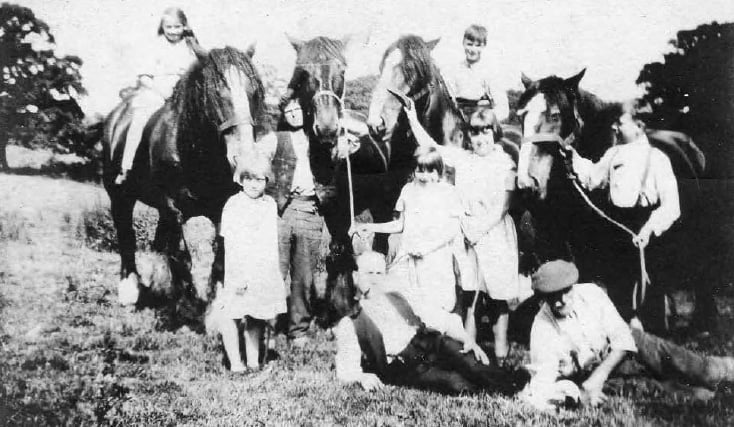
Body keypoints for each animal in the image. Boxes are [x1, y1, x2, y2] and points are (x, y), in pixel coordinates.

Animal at [102, 46, 266, 310]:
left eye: (253, 92)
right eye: (216, 93)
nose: (244, 160)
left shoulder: (219, 208)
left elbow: (219, 257)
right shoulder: (178, 208)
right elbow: (184, 257)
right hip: (119, 195)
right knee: (125, 232)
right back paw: (130, 288)